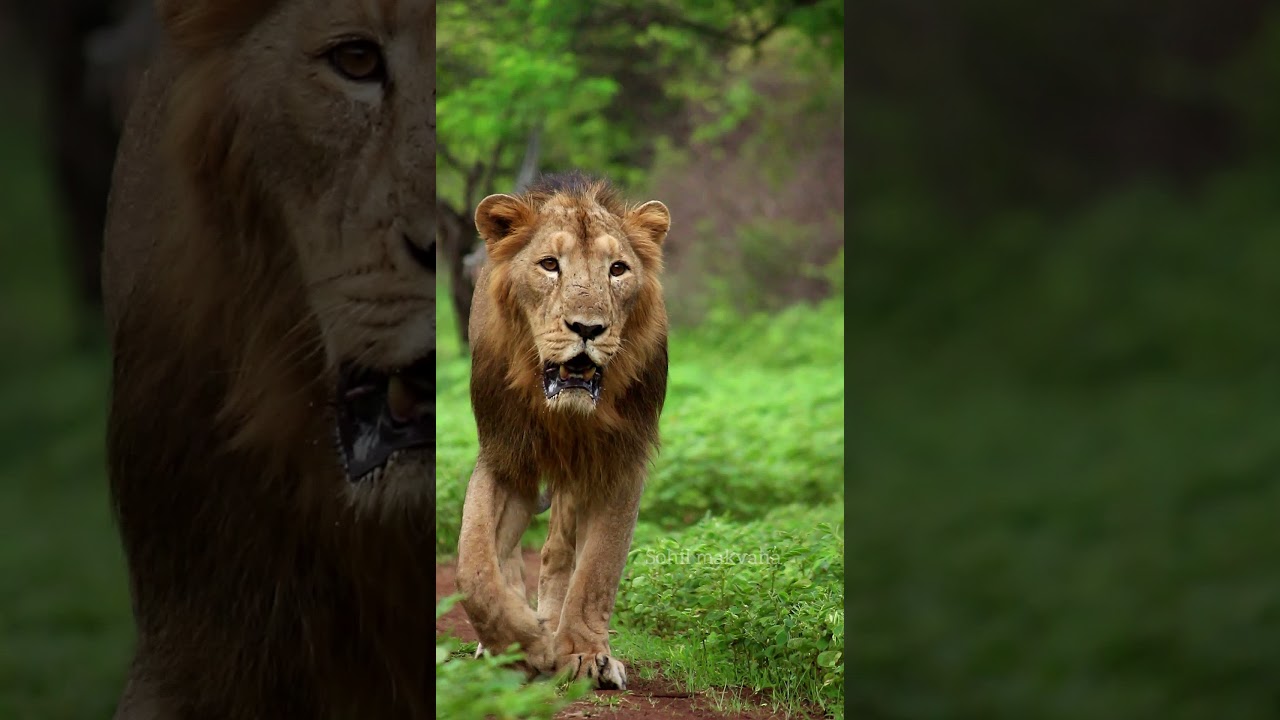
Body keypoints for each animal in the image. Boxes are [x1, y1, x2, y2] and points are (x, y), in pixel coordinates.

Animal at [456, 172, 671, 690]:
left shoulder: (618, 461)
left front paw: (584, 653)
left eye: (617, 269)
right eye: (549, 265)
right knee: (508, 556)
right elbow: (474, 566)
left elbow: (597, 570)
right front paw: (523, 643)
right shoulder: (503, 453)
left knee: (557, 553)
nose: (587, 328)